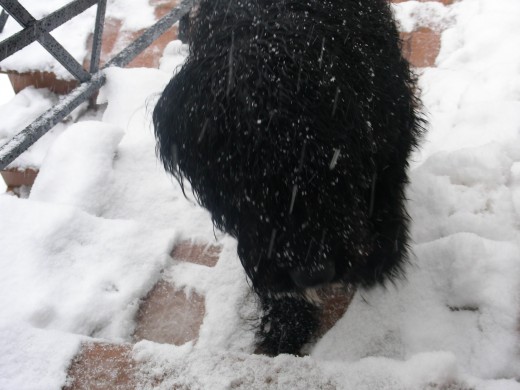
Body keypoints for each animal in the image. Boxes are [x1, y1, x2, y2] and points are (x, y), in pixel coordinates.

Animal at [153, 0, 422, 354]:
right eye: (234, 176)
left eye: (327, 154)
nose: (313, 274)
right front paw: (285, 324)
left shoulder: (388, 126)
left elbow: (386, 185)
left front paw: (382, 255)